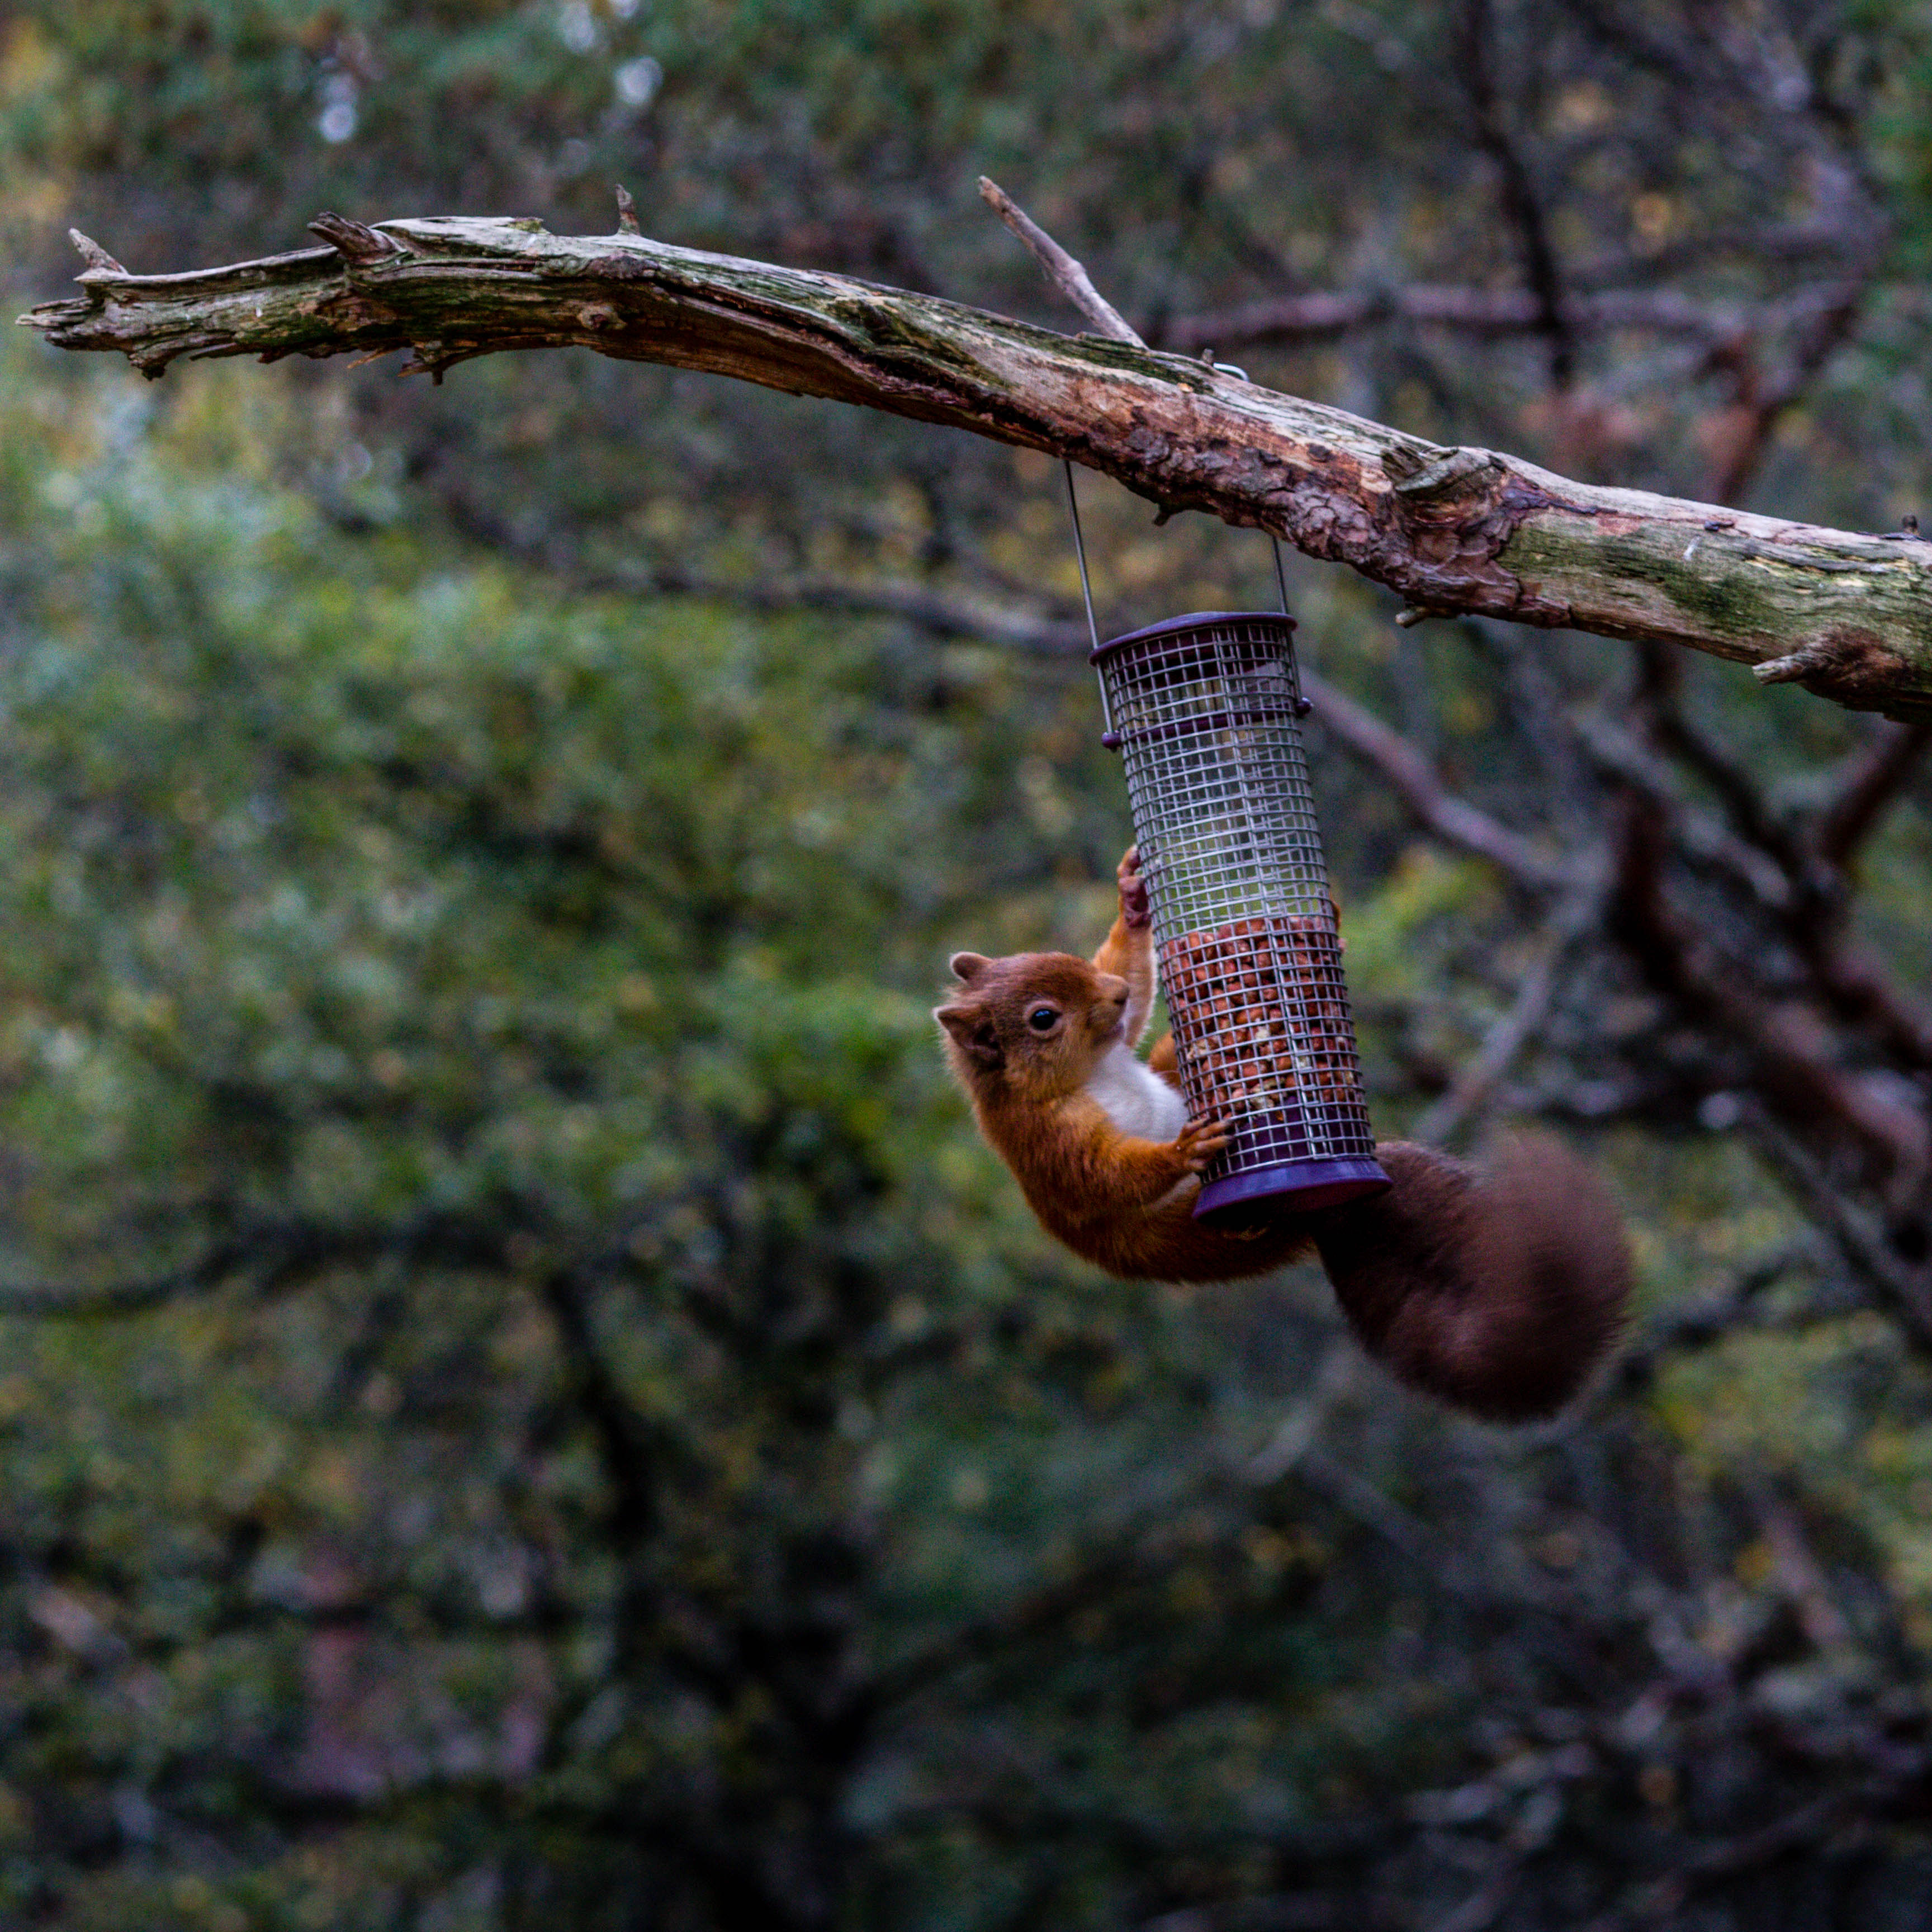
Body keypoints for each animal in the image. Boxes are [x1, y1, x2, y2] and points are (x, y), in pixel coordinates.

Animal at [935, 847, 1630, 1423]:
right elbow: (1100, 1175)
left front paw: (1132, 899)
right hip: (1198, 1229)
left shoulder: (1120, 1039)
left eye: (1073, 961)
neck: (1090, 1074)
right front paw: (1184, 1148)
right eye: (1043, 1018)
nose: (1113, 992)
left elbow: (1134, 1007)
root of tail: (1329, 1204)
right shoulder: (1044, 1139)